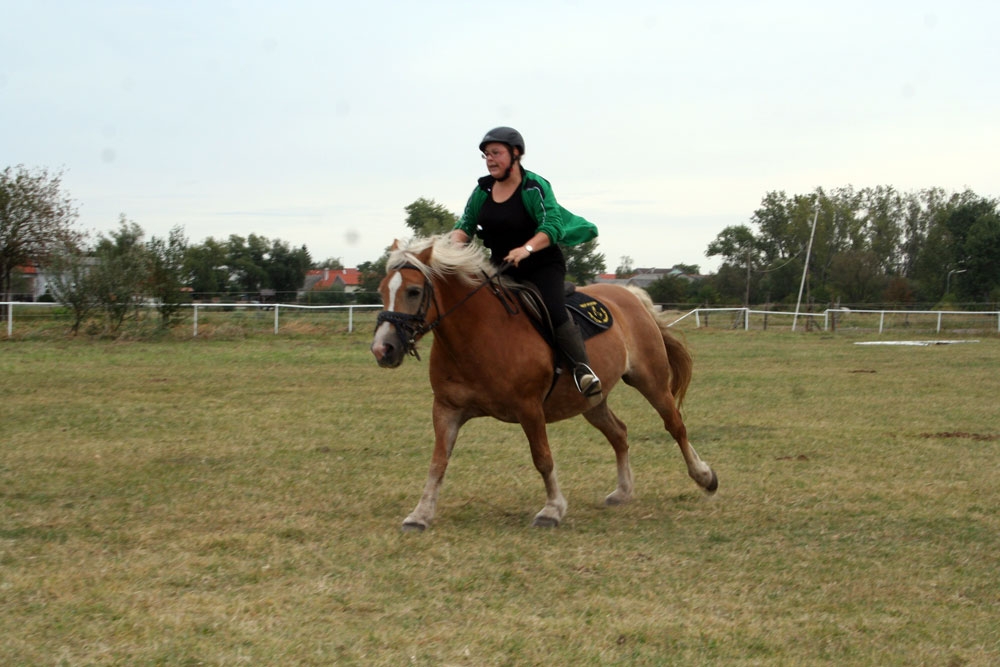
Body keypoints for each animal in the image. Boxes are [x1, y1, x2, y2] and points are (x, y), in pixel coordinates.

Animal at [372, 235, 716, 532]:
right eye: (381, 291)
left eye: (414, 291)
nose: (382, 349)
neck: (479, 334)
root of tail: (630, 295)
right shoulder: (446, 409)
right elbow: (438, 462)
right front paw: (420, 514)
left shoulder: (529, 408)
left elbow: (542, 458)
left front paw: (552, 509)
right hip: (591, 400)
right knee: (619, 433)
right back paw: (623, 491)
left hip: (651, 380)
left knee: (675, 425)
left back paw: (704, 476)